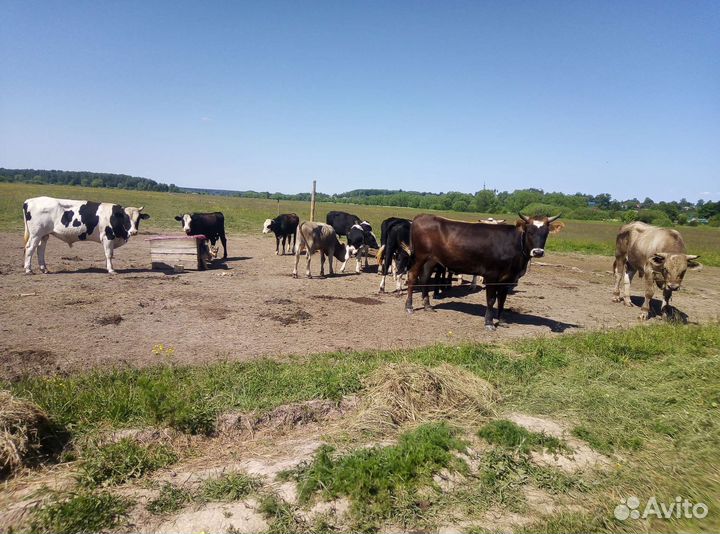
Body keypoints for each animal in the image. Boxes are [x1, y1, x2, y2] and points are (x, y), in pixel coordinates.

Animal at [405, 213, 562, 330]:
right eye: (530, 231)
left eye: (546, 233)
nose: (538, 252)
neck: (514, 245)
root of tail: (422, 216)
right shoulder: (492, 275)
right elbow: (491, 300)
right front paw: (489, 322)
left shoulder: (508, 278)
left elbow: (502, 300)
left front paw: (502, 320)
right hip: (420, 257)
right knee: (412, 276)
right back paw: (409, 306)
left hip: (431, 260)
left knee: (424, 278)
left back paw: (427, 306)